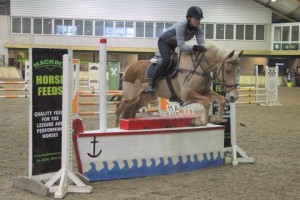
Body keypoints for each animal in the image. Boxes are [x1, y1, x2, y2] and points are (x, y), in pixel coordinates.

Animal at [113, 41, 243, 126]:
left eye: (238, 71)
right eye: (228, 71)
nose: (234, 97)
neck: (200, 67)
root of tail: (129, 68)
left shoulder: (204, 92)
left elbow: (221, 99)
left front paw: (215, 119)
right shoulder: (187, 94)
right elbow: (206, 102)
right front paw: (200, 121)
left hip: (146, 97)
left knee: (133, 109)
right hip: (131, 96)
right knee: (119, 108)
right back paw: (115, 127)